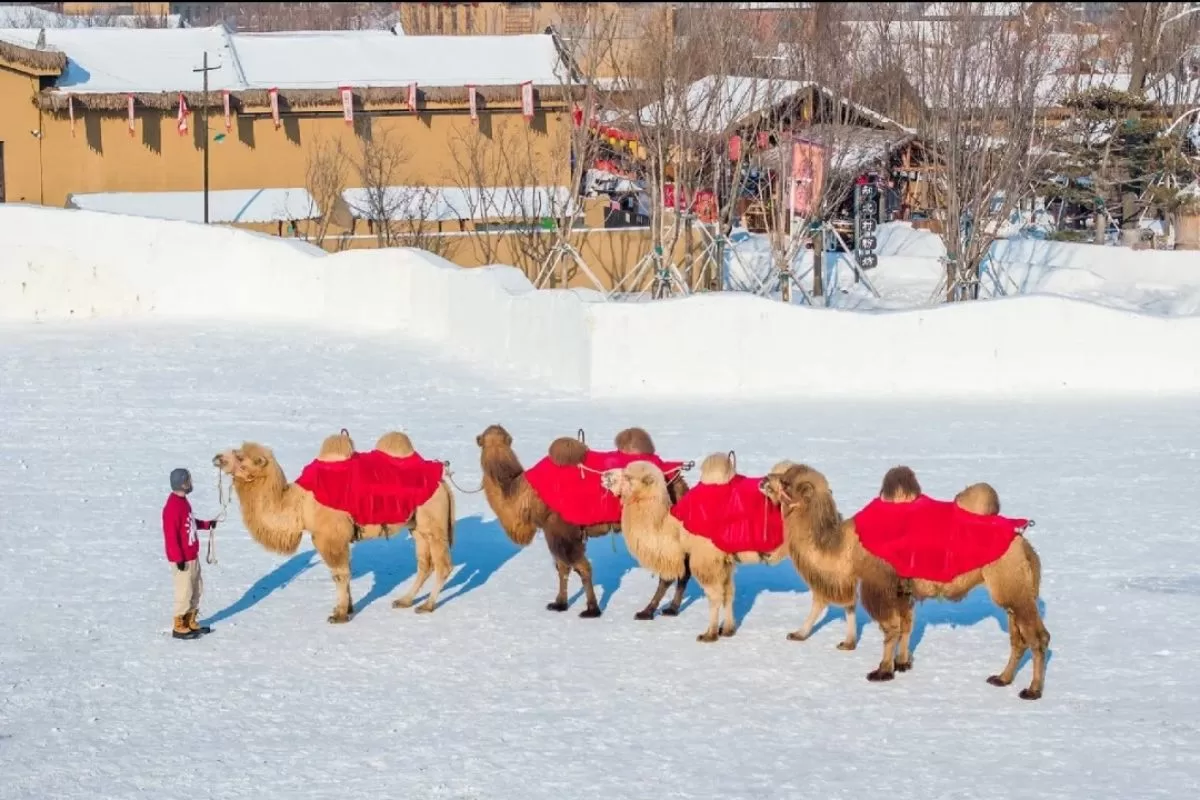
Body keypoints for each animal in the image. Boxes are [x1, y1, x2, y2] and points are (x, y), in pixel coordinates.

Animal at [211, 431, 453, 623]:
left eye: (240, 457)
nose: (216, 457)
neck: (299, 503)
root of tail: (443, 479)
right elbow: (345, 572)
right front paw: (347, 608)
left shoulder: (329, 536)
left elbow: (339, 574)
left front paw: (339, 615)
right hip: (417, 525)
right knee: (424, 564)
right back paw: (404, 601)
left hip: (434, 522)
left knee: (443, 565)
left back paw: (427, 606)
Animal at [472, 424, 691, 618]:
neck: (525, 494)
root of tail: (679, 482)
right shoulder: (556, 532)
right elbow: (562, 568)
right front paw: (559, 603)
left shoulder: (561, 530)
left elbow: (582, 568)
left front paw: (592, 609)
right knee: (683, 569)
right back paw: (671, 609)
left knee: (670, 569)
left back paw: (647, 611)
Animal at [600, 453, 796, 642]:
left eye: (628, 476)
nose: (604, 475)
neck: (674, 526)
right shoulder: (723, 561)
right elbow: (728, 593)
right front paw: (727, 630)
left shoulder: (706, 559)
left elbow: (714, 595)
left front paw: (709, 635)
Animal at [758, 462, 1051, 700]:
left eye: (786, 482)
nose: (763, 480)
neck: (846, 546)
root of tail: (1024, 545)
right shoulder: (902, 589)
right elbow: (906, 626)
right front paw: (902, 663)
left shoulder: (879, 585)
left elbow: (891, 629)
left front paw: (882, 671)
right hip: (1015, 590)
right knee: (1018, 637)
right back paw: (1002, 679)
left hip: (1011, 584)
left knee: (1038, 637)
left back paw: (1032, 691)